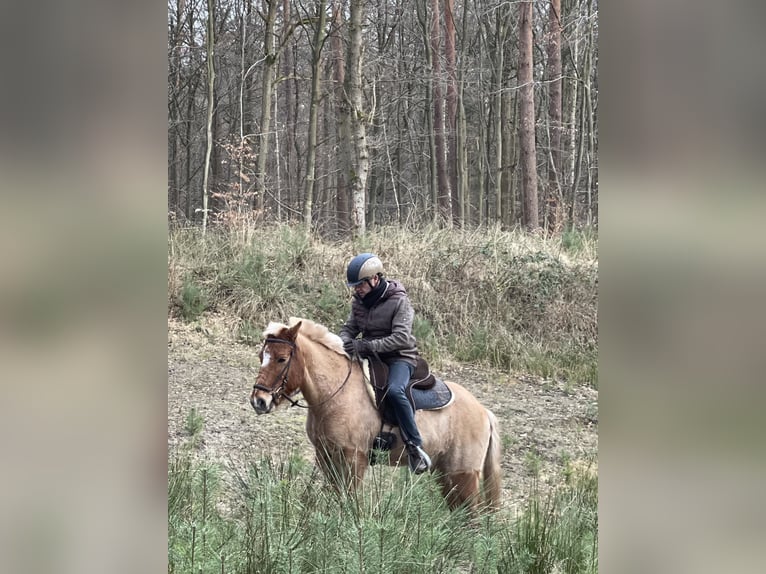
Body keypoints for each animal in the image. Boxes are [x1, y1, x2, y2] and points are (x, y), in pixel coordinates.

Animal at [249, 317, 502, 511]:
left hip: (464, 475)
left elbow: (350, 502)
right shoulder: (326, 457)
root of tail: (483, 412)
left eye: (282, 358)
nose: (259, 401)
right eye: (262, 356)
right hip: (446, 475)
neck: (336, 392)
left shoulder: (355, 459)